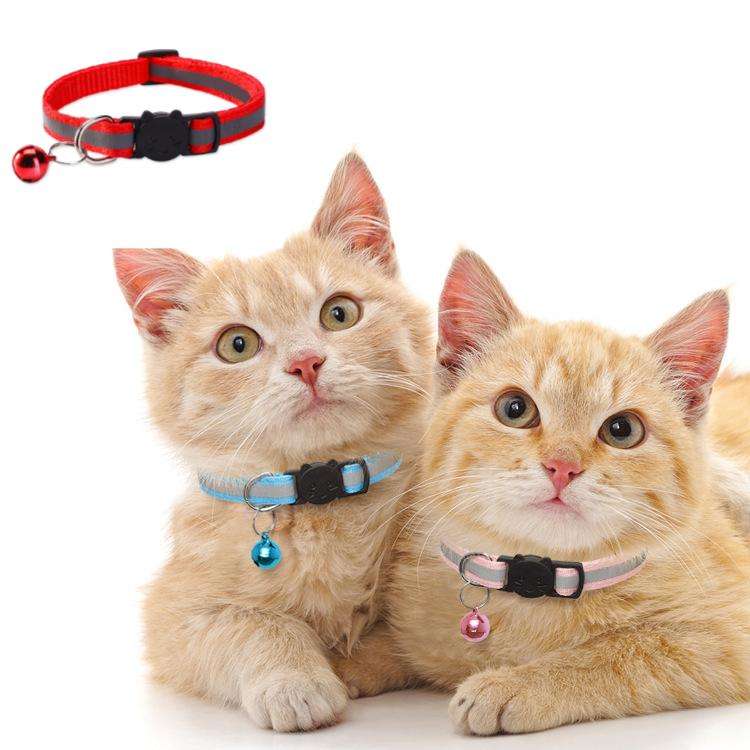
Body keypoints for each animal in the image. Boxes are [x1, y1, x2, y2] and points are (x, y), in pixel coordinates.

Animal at [113, 153, 433, 732]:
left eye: (339, 313)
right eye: (237, 344)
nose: (306, 362)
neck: (321, 495)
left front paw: (354, 662)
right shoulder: (170, 613)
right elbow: (250, 622)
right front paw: (297, 681)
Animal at [334, 249, 750, 734]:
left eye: (623, 430)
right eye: (515, 409)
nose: (562, 466)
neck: (535, 585)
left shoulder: (724, 636)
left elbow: (623, 653)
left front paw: (514, 685)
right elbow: (409, 644)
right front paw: (344, 662)